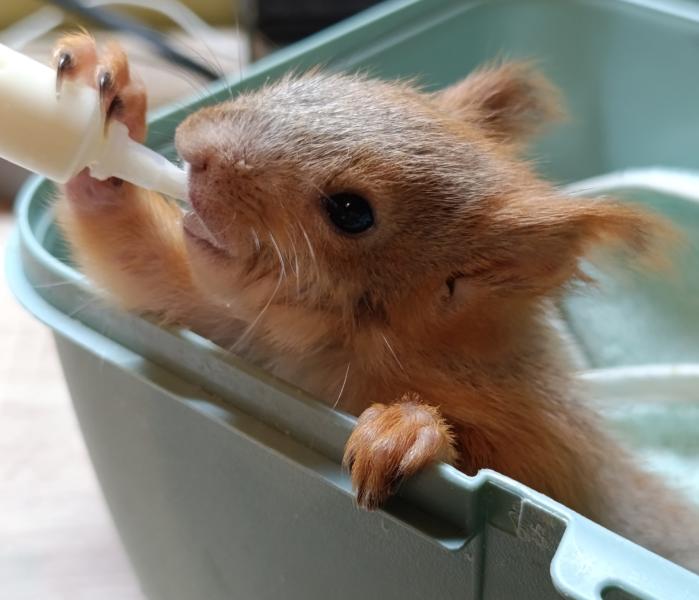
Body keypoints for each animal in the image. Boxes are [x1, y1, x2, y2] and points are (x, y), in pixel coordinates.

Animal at [53, 34, 698, 572]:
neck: (342, 349)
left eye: (351, 212)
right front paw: (106, 96)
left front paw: (405, 427)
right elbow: (141, 268)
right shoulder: (229, 326)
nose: (194, 146)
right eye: (322, 81)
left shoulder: (550, 447)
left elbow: (509, 476)